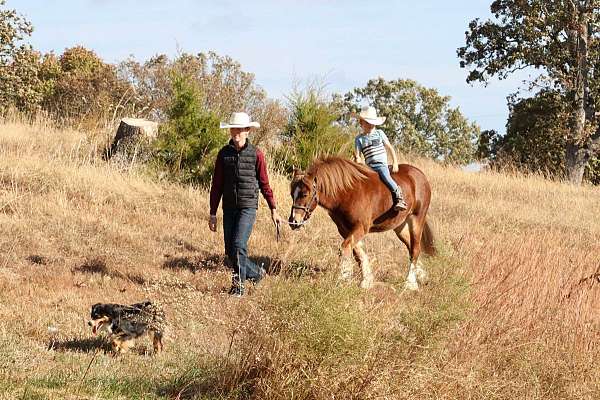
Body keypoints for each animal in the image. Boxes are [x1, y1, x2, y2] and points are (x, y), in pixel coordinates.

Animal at [288, 157, 434, 290]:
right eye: (292, 194)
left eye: (304, 194)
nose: (293, 221)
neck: (348, 193)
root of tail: (420, 175)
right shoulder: (345, 229)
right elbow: (357, 252)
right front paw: (366, 280)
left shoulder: (361, 227)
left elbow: (346, 248)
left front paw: (343, 277)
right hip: (400, 226)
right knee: (411, 246)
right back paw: (421, 275)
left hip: (416, 220)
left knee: (415, 249)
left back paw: (410, 283)